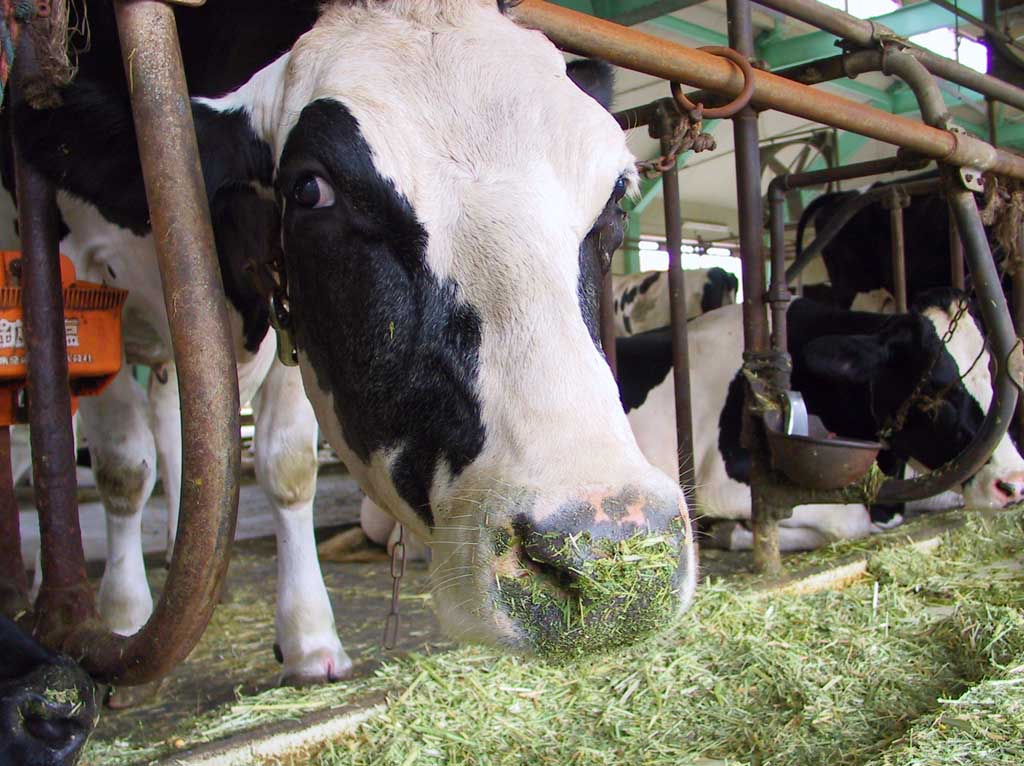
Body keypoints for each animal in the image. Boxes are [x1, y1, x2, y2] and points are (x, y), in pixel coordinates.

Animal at [11, 0, 695, 671]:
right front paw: (121, 619)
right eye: (311, 189)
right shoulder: (87, 302)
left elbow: (285, 464)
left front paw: (309, 638)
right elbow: (123, 469)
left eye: (617, 196)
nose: (604, 549)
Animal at [618, 290, 1024, 551]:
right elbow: (848, 522)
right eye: (932, 391)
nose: (1013, 484)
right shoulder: (723, 483)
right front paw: (728, 532)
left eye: (992, 373)